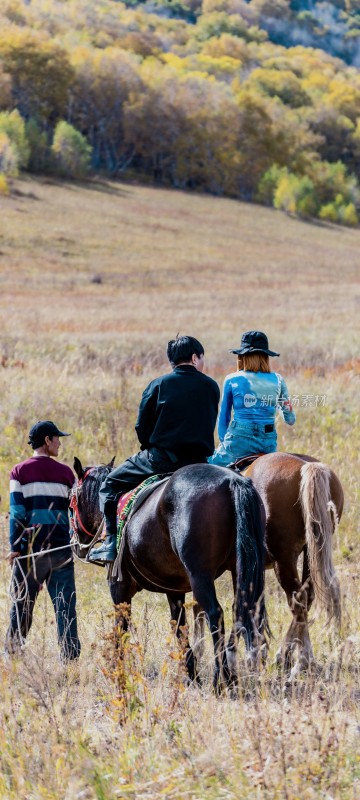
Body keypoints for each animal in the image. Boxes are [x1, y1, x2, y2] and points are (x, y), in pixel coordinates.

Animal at [69, 460, 268, 692]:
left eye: (71, 504)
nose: (75, 544)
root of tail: (232, 481)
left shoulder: (119, 588)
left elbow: (121, 626)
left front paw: (117, 671)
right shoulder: (175, 590)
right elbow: (179, 626)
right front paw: (191, 675)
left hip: (199, 575)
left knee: (216, 614)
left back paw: (221, 678)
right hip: (241, 570)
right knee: (243, 611)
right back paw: (235, 675)